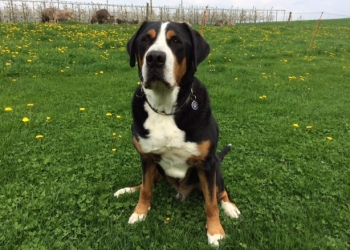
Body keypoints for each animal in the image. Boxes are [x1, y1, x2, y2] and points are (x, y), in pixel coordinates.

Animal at [115, 21, 241, 246]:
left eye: (176, 41)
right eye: (145, 40)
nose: (155, 58)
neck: (165, 109)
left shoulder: (207, 164)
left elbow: (211, 203)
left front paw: (215, 232)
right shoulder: (146, 157)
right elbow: (146, 189)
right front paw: (139, 212)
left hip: (216, 168)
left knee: (220, 192)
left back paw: (230, 207)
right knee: (146, 183)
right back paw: (126, 190)